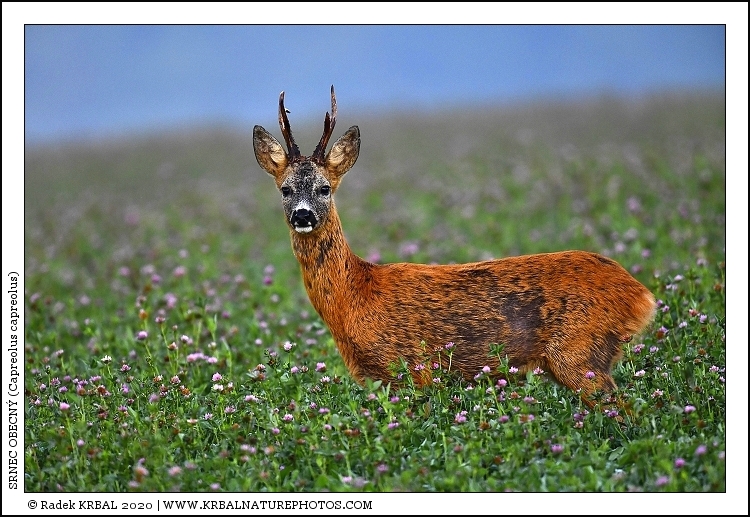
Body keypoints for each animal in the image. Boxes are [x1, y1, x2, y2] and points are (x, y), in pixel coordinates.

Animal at [252, 86, 656, 409]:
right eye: (285, 189)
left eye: (325, 188)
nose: (303, 215)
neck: (354, 295)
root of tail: (642, 294)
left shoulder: (412, 368)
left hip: (580, 354)